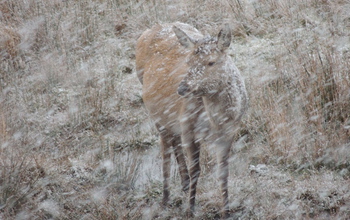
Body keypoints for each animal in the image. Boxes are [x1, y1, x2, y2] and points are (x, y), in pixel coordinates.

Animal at [136, 22, 249, 218]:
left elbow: (223, 172)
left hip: (174, 120)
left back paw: (184, 183)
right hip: (157, 114)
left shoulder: (230, 132)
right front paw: (190, 210)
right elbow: (196, 170)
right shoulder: (189, 128)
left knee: (174, 141)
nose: (182, 88)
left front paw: (226, 212)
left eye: (211, 62)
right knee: (165, 151)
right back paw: (166, 198)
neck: (217, 121)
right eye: (188, 62)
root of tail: (152, 28)